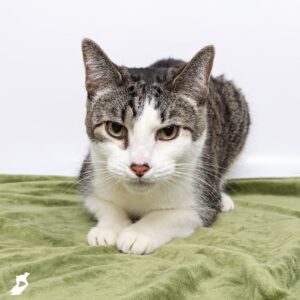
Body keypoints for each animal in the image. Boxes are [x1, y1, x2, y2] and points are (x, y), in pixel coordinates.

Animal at [78, 37, 251, 253]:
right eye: (116, 128)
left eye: (168, 132)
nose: (139, 167)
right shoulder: (90, 175)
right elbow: (103, 204)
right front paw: (108, 228)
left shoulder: (202, 203)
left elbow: (173, 215)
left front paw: (138, 233)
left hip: (236, 108)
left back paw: (223, 198)